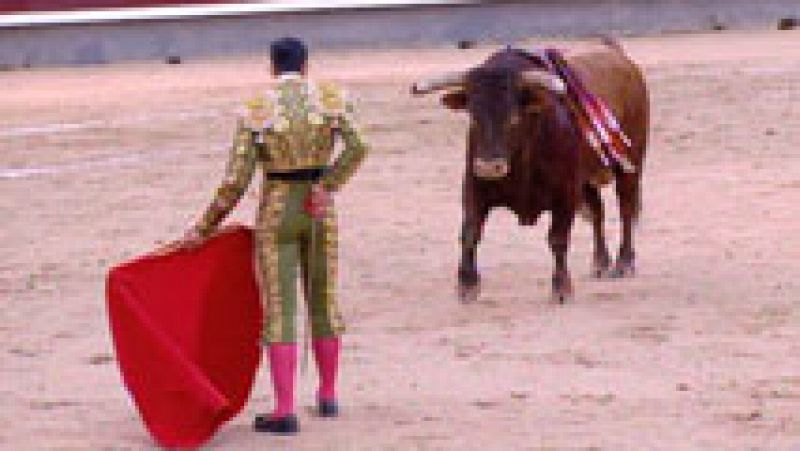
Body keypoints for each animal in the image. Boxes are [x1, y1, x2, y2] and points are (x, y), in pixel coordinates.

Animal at [412, 38, 648, 304]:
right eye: (473, 116)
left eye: (514, 118)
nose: (489, 167)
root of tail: (618, 54)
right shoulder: (474, 186)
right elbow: (470, 232)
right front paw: (467, 285)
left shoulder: (565, 192)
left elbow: (557, 238)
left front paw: (561, 288)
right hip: (586, 178)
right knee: (598, 211)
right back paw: (600, 262)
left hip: (631, 163)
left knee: (626, 209)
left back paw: (624, 262)